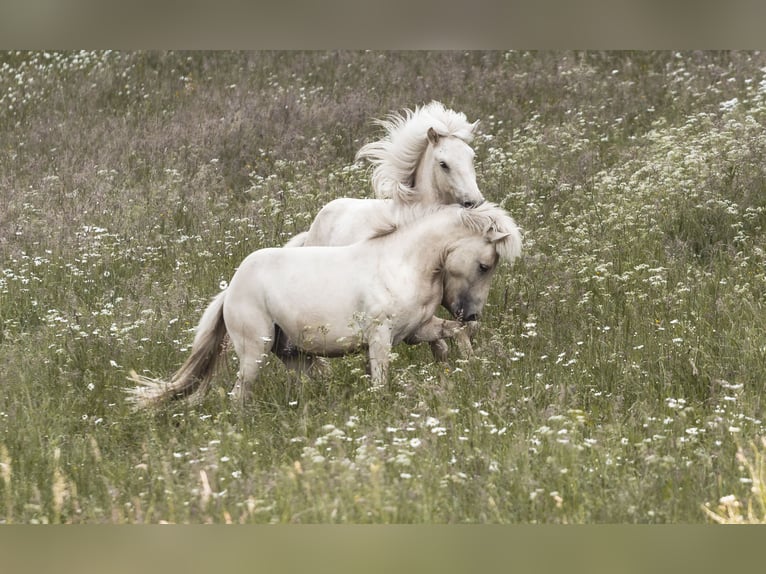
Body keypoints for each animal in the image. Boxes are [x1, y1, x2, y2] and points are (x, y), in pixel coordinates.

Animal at [127, 202, 520, 410]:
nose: (472, 313)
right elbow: (380, 381)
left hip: (292, 352)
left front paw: (468, 367)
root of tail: (231, 289)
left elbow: (452, 335)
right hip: (256, 350)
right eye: (485, 264)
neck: (404, 262)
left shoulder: (417, 330)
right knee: (239, 393)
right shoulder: (380, 338)